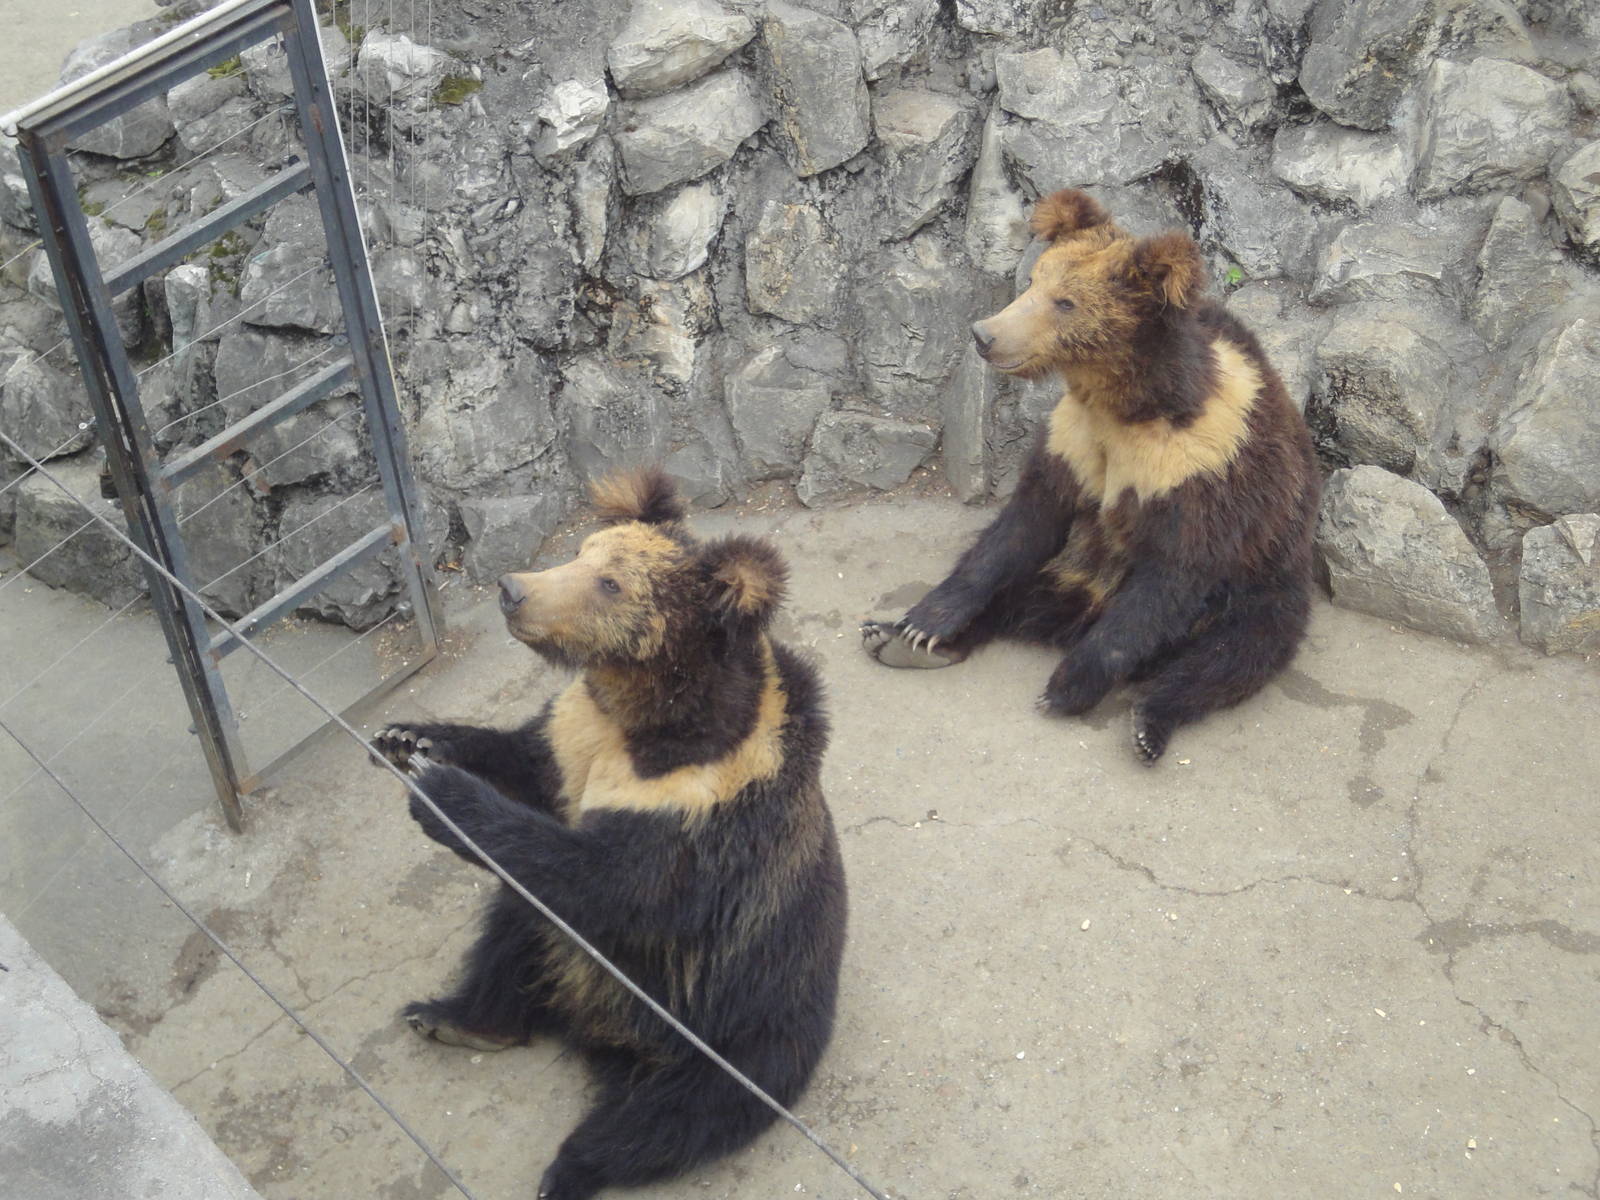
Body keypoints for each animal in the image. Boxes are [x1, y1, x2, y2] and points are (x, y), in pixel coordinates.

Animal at [373, 467, 847, 1200]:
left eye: (610, 583)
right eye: (581, 551)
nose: (513, 589)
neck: (646, 717)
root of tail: (607, 1037)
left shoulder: (704, 805)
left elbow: (613, 878)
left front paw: (443, 794)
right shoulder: (577, 731)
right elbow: (526, 763)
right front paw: (408, 738)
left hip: (746, 1032)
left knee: (673, 1120)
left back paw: (565, 1171)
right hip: (571, 951)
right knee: (514, 932)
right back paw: (455, 1017)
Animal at [861, 188, 1321, 763]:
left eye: (1066, 302)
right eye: (1034, 281)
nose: (985, 334)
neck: (1126, 403)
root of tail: (1073, 613)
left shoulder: (1203, 469)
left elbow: (1169, 578)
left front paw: (1065, 687)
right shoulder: (1073, 444)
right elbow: (1016, 530)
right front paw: (921, 621)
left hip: (1264, 585)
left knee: (1234, 653)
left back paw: (1150, 719)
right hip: (1068, 566)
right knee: (1016, 588)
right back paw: (896, 639)